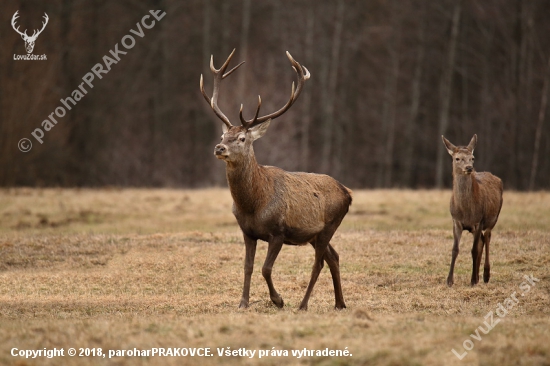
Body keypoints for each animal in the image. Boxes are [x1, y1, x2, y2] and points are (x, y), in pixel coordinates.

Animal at [202, 50, 354, 310]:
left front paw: (278, 299)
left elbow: (265, 268)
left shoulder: (279, 232)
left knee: (318, 263)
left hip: (330, 225)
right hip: (315, 234)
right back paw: (340, 303)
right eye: (223, 135)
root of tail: (348, 193)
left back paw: (303, 305)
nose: (219, 148)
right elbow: (248, 267)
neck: (254, 204)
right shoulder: (247, 232)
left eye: (242, 138)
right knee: (334, 256)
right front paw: (243, 303)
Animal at [444, 134, 504, 286]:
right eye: (457, 158)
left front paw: (472, 280)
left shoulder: (479, 221)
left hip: (493, 218)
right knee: (482, 240)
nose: (469, 167)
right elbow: (455, 249)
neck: (466, 211)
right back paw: (478, 276)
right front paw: (449, 280)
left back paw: (485, 275)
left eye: (472, 157)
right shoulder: (456, 221)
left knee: (487, 237)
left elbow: (474, 250)